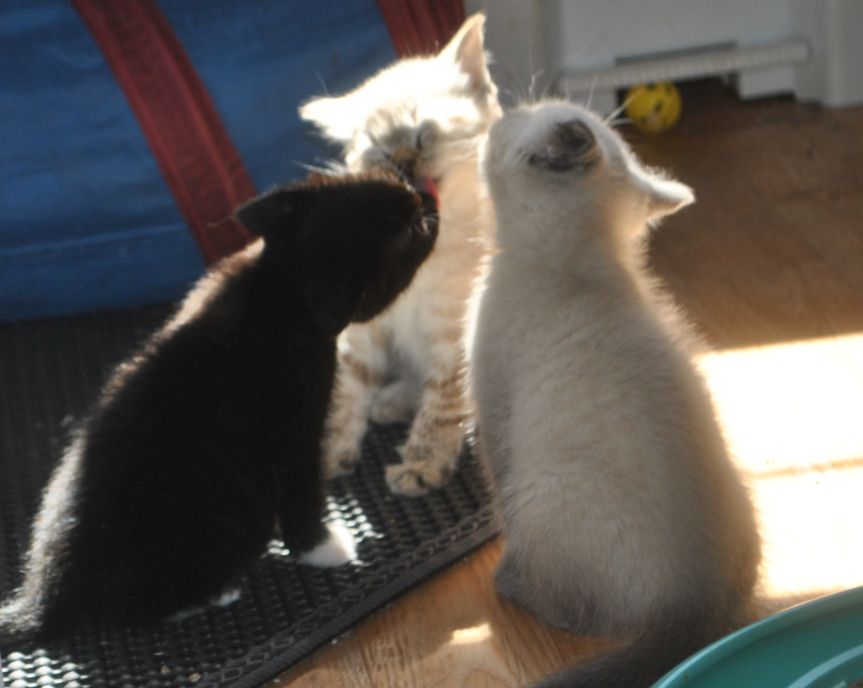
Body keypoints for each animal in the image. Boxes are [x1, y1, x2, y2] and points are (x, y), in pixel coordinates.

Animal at [0, 171, 438, 642]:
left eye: (400, 187)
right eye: (410, 230)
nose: (428, 198)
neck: (279, 284)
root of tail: (46, 594)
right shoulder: (296, 433)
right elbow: (303, 493)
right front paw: (324, 547)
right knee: (129, 610)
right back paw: (210, 596)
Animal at [299, 13, 501, 496]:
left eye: (422, 135)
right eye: (380, 151)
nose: (404, 162)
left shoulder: (455, 339)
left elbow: (442, 405)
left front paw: (422, 464)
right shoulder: (361, 331)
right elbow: (346, 392)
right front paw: (332, 452)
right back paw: (391, 400)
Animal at [472, 100, 761, 688]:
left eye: (521, 113)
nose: (498, 113)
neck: (581, 268)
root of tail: (693, 612)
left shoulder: (493, 411)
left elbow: (496, 490)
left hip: (544, 492)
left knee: (572, 611)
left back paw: (511, 583)